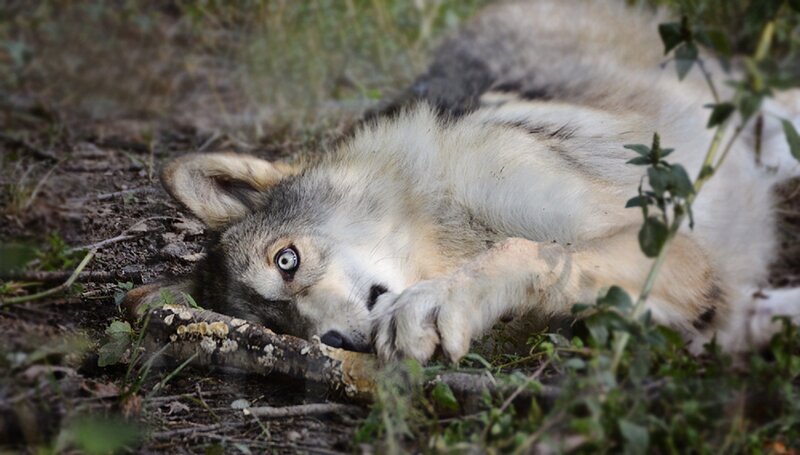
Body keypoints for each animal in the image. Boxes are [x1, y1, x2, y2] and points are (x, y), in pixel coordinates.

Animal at [157, 0, 800, 364]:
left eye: (286, 261)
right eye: (274, 325)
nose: (333, 342)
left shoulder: (670, 238)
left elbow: (530, 252)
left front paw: (439, 302)